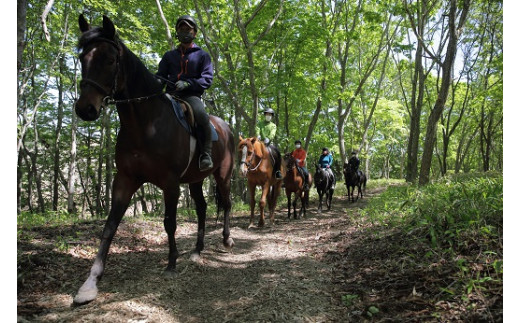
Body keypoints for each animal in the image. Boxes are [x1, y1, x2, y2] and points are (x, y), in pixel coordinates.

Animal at [72, 14, 235, 304]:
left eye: (110, 59)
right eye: (82, 58)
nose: (85, 109)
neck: (145, 123)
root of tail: (226, 127)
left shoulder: (170, 183)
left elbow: (169, 223)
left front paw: (171, 263)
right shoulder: (124, 180)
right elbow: (109, 226)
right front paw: (90, 282)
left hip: (223, 175)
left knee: (226, 204)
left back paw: (226, 240)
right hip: (195, 180)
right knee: (202, 208)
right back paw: (197, 250)